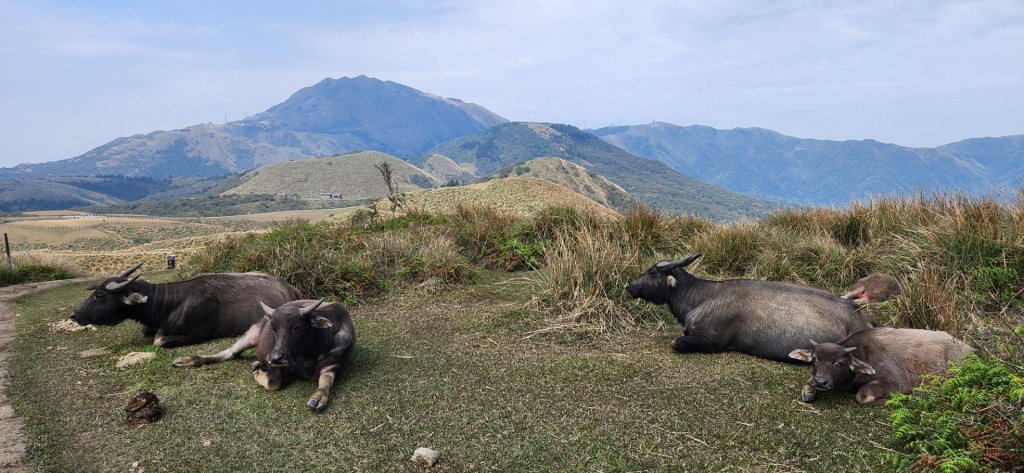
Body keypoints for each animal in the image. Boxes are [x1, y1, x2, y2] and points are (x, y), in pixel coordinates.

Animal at [172, 301, 356, 411]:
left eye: (296, 327)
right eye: (273, 328)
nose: (275, 358)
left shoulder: (333, 364)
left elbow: (326, 382)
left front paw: (317, 398)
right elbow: (274, 382)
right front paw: (257, 372)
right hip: (250, 335)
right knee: (229, 353)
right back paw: (188, 361)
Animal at [622, 254, 880, 362]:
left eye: (652, 272)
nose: (629, 286)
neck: (703, 296)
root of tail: (862, 316)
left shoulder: (711, 341)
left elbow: (676, 342)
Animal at [786, 329, 970, 403]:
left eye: (839, 363)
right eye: (815, 359)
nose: (821, 382)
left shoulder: (896, 383)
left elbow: (862, 396)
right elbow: (807, 382)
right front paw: (809, 391)